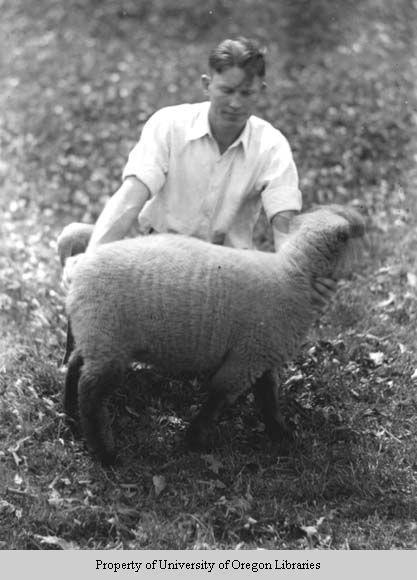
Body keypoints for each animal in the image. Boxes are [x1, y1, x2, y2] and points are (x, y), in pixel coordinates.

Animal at [62, 204, 364, 462]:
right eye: (357, 237)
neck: (293, 276)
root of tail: (78, 265)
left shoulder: (260, 354)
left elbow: (268, 398)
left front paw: (281, 434)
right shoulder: (247, 358)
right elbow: (221, 395)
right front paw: (195, 440)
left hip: (95, 332)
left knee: (75, 366)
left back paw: (71, 418)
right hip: (108, 339)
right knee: (90, 394)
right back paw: (105, 454)